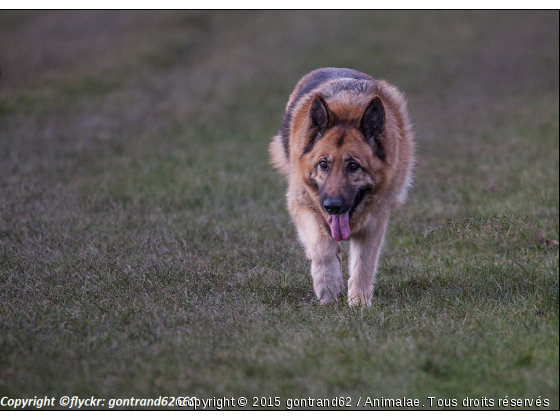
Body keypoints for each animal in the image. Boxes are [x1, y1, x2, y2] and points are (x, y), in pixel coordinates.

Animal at [270, 68, 414, 306]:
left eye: (353, 166)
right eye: (324, 164)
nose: (332, 206)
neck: (348, 108)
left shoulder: (374, 222)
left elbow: (363, 265)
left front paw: (359, 304)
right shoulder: (302, 205)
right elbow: (322, 247)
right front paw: (327, 286)